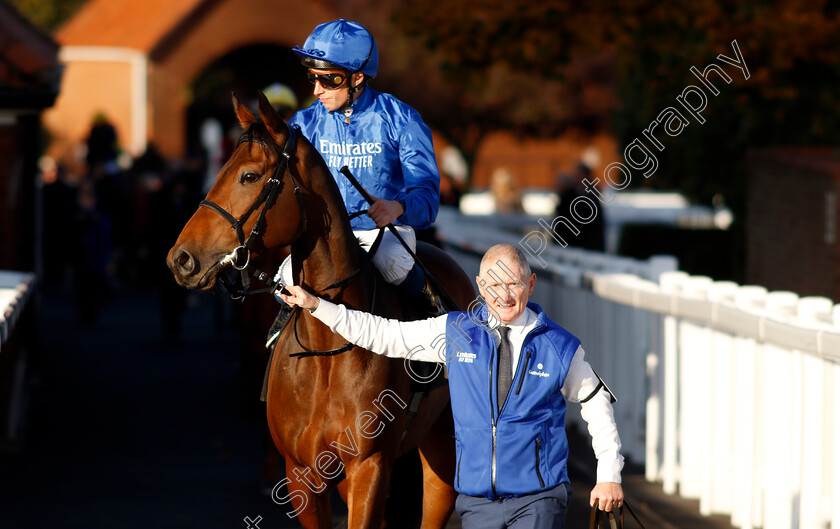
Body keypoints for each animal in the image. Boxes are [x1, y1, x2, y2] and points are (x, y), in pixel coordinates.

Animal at [167, 93, 476, 524]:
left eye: (248, 176)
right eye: (220, 167)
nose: (181, 259)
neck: (326, 350)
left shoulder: (368, 466)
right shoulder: (303, 472)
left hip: (442, 449)